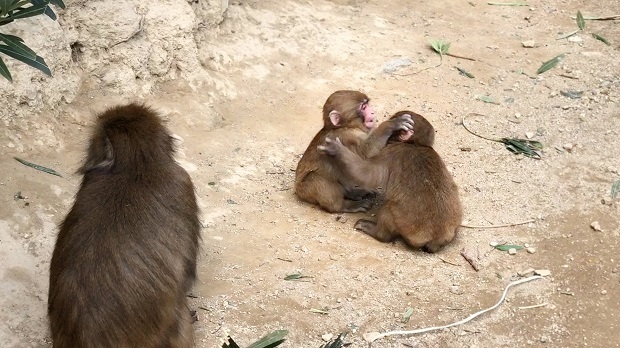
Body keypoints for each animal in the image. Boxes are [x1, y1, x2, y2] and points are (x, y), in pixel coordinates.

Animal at [320, 111, 460, 253]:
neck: (414, 143)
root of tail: (434, 237)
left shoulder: (390, 152)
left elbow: (366, 174)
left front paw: (337, 150)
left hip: (401, 223)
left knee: (388, 210)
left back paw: (377, 232)